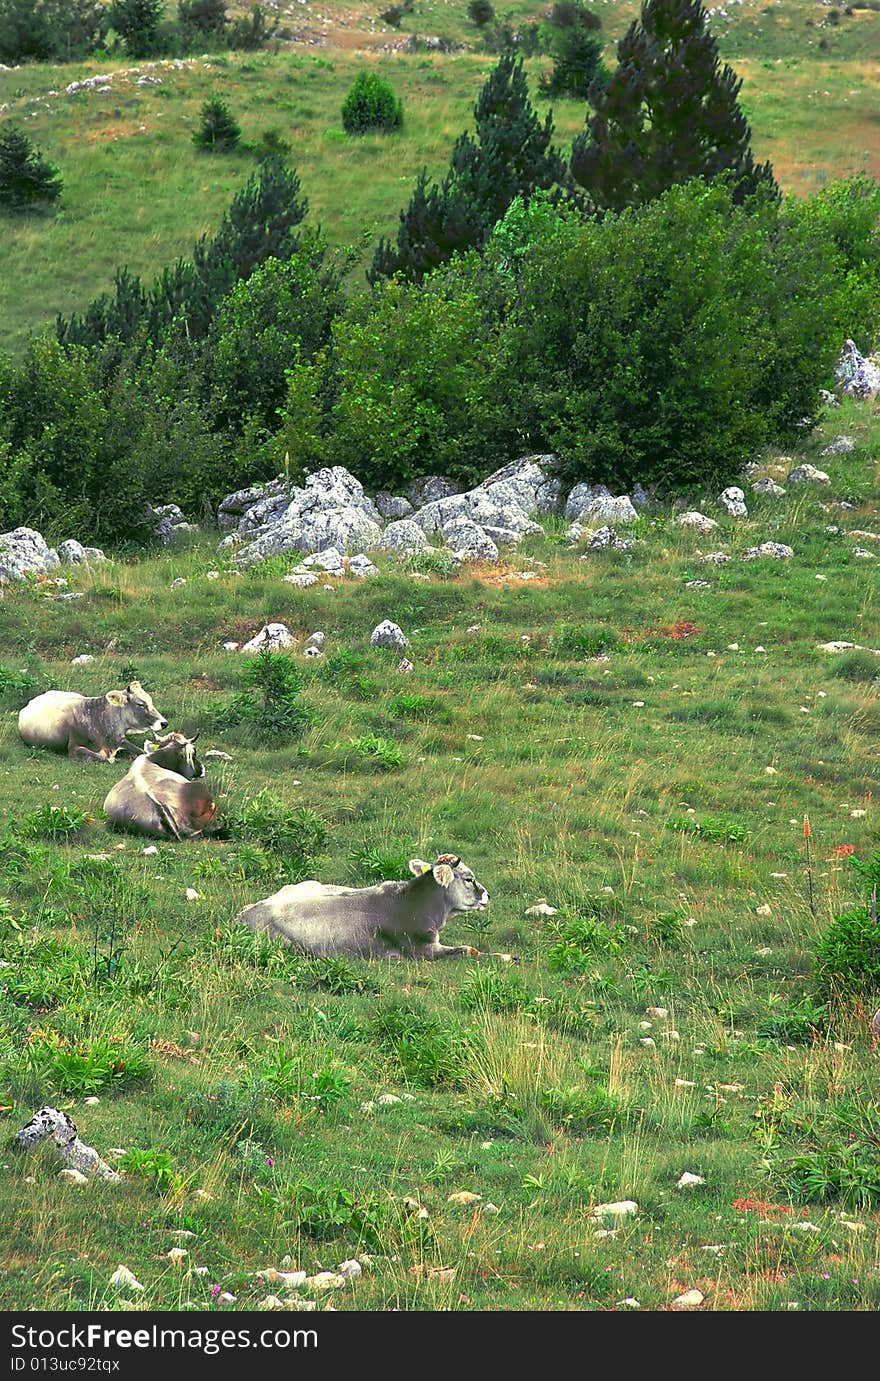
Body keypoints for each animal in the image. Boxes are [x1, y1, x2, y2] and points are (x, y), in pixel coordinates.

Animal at [18, 682, 169, 767]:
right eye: (140, 704)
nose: (164, 723)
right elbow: (102, 757)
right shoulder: (74, 749)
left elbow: (142, 751)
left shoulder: (120, 739)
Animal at [233, 850, 486, 961]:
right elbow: (469, 950)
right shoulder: (422, 949)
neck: (412, 903)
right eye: (468, 878)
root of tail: (245, 913)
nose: (487, 895)